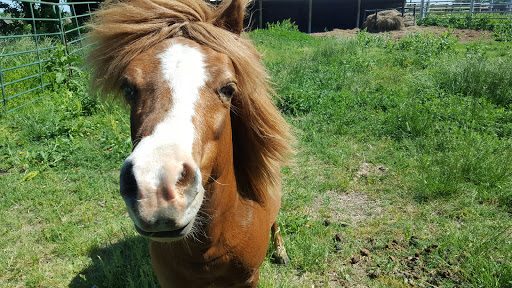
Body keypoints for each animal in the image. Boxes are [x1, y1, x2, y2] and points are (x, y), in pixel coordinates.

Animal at [87, 0, 292, 286]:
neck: (207, 250)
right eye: (128, 89)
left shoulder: (250, 278)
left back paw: (281, 251)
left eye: (229, 89)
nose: (158, 188)